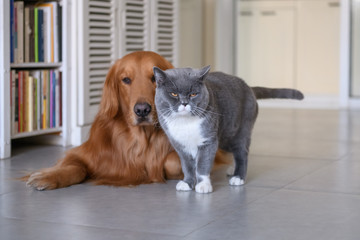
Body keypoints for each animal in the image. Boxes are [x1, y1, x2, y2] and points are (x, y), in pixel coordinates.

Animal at [153, 65, 304, 193]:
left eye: (193, 94)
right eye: (173, 94)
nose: (184, 103)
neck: (185, 123)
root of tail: (248, 87)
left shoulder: (209, 141)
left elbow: (203, 164)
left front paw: (203, 185)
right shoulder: (180, 145)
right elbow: (187, 166)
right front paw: (187, 183)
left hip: (240, 130)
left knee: (242, 152)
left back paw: (238, 177)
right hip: (224, 138)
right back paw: (232, 170)